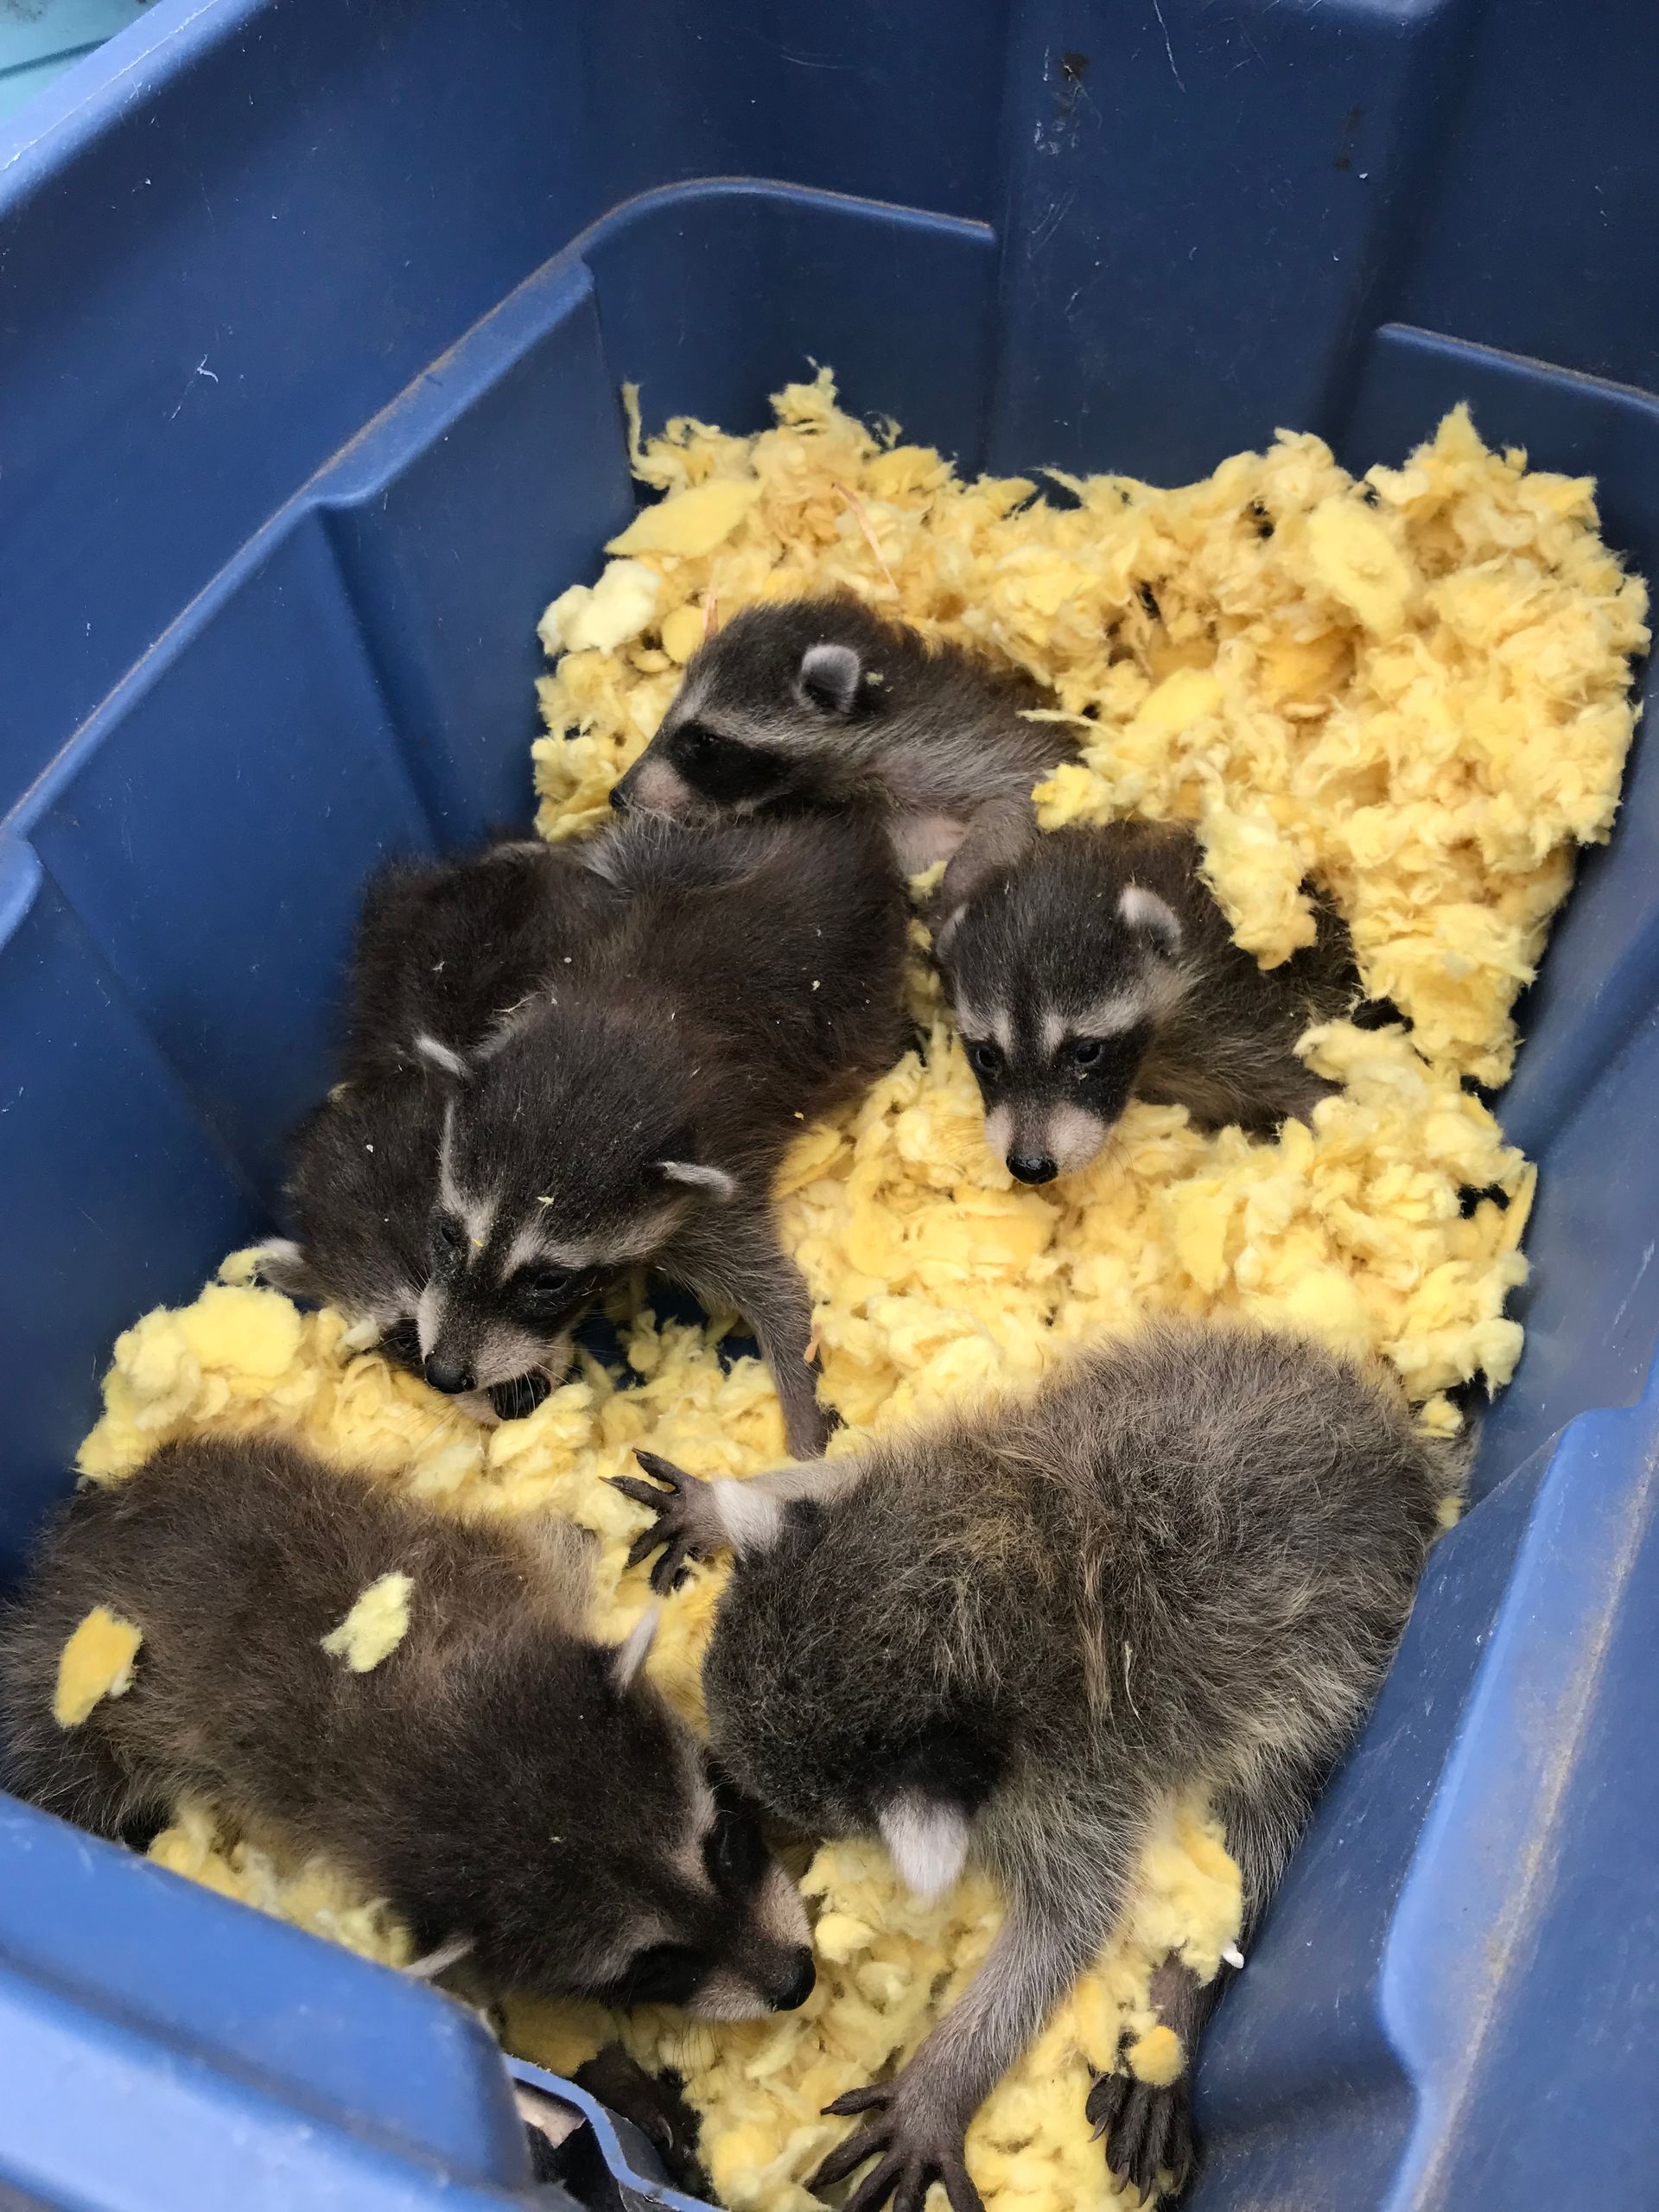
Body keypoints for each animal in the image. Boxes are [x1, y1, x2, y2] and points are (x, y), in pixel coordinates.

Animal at [0, 1434, 815, 2020]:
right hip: (57, 1700)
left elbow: (560, 1541)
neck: (432, 1741)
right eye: (656, 1964)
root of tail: (69, 1546)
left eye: (724, 1845)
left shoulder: (496, 1570)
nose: (798, 1984)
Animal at [265, 809, 910, 1453]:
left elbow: (779, 1295)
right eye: (448, 1235)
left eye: (550, 1279)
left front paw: (808, 1425)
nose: (446, 1374)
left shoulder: (710, 1191)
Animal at [613, 1320, 1446, 2208]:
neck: (1002, 1585)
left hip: (1324, 1667)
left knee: (1252, 1833)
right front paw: (725, 1499)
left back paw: (1179, 1998)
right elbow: (841, 1469)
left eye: (787, 1810)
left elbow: (1069, 1923)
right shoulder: (930, 1473)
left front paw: (944, 2077)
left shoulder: (1080, 1769)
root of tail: (1396, 1455)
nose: (719, 1798)